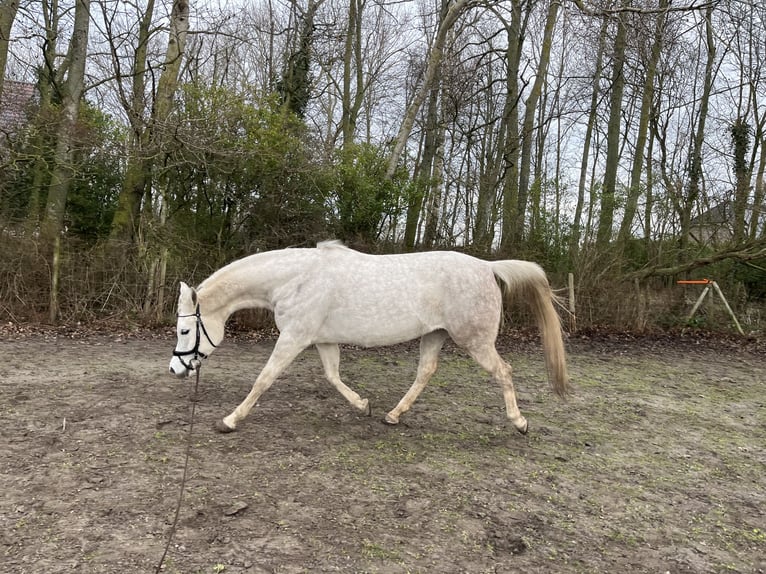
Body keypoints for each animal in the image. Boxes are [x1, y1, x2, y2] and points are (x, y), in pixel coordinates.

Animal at [169, 241, 569, 435]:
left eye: (185, 329)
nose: (176, 369)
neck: (296, 279)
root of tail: (487, 267)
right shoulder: (322, 339)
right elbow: (332, 376)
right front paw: (363, 405)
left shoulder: (295, 337)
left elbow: (263, 379)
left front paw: (229, 421)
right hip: (435, 335)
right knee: (425, 372)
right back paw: (392, 415)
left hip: (476, 341)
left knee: (504, 372)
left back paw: (520, 423)